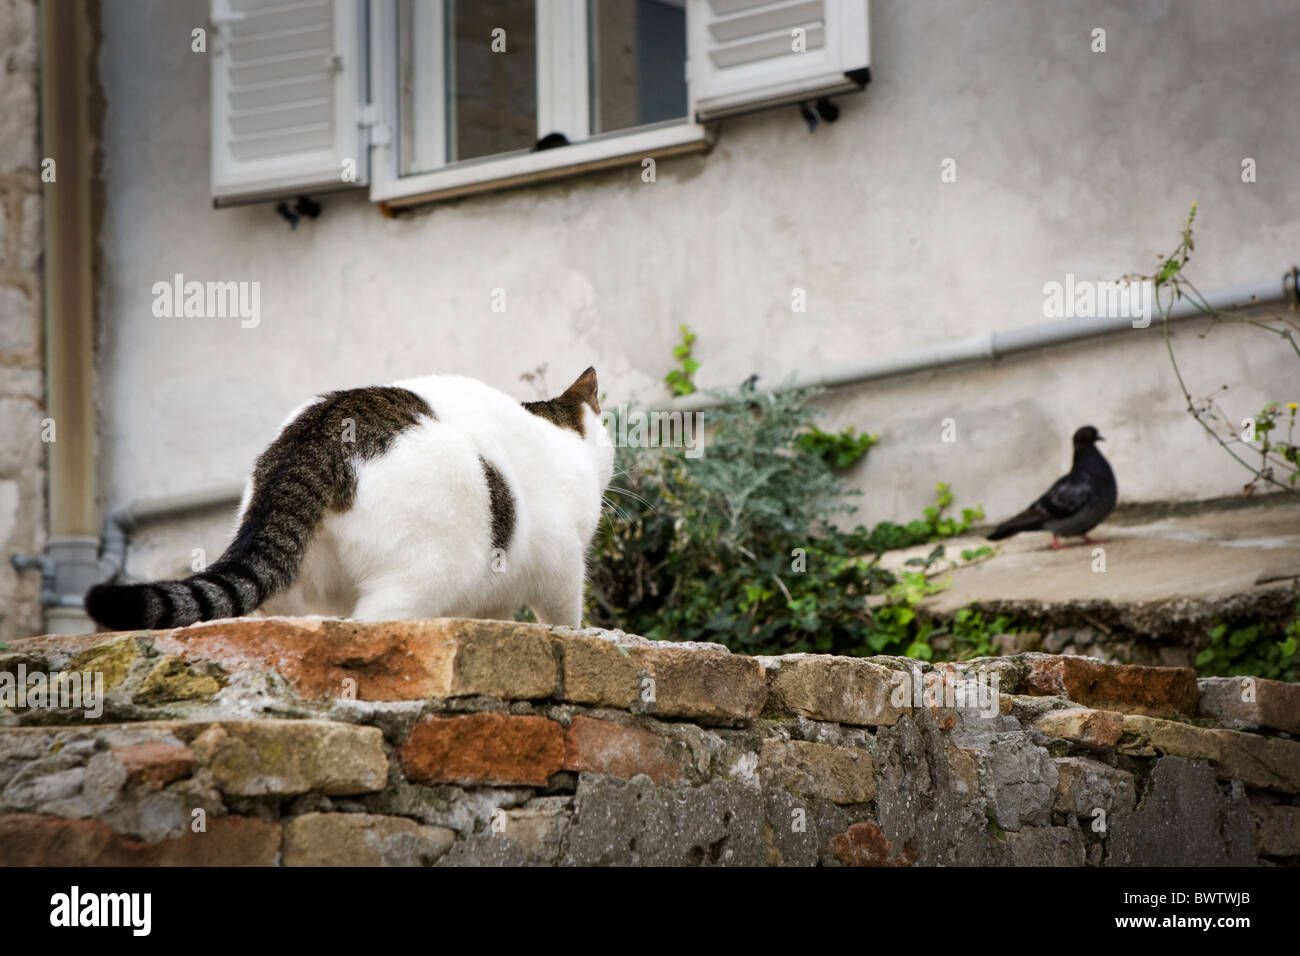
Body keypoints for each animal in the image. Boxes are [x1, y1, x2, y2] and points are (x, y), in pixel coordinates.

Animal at [85, 369, 613, 632]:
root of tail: (315, 437)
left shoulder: (495, 595)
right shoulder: (562, 563)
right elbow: (566, 613)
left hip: (295, 577)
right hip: (432, 569)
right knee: (375, 619)